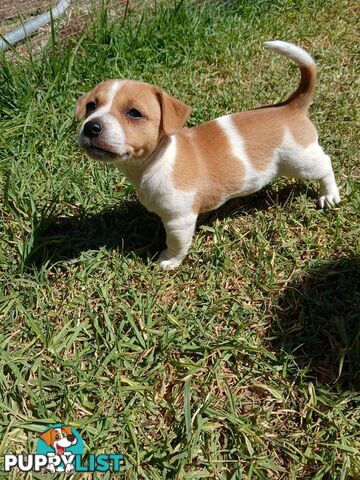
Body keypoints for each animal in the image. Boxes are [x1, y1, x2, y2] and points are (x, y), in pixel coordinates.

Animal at [76, 41, 340, 270]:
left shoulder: (178, 220)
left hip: (300, 161)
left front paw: (169, 260)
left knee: (325, 165)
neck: (156, 160)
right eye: (91, 106)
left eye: (134, 113)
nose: (91, 127)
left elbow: (177, 243)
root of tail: (290, 106)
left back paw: (329, 195)